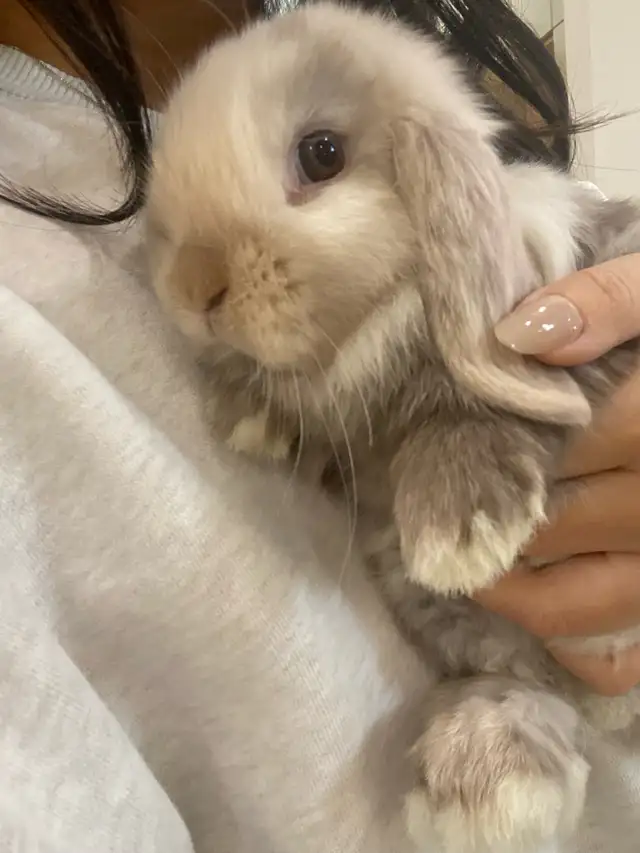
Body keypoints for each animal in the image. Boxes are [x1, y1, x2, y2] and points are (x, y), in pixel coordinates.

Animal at [144, 3, 640, 851]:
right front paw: (250, 413)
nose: (191, 285)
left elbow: (490, 395)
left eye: (322, 154)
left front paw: (460, 530)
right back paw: (487, 782)